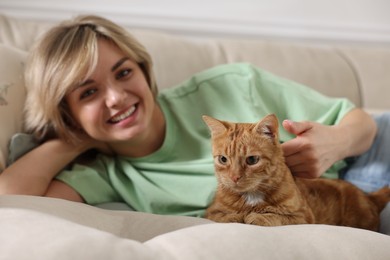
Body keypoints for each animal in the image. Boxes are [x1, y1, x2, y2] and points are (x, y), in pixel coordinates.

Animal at [203, 114, 390, 232]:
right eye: (223, 159)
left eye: (252, 160)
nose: (234, 177)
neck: (252, 196)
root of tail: (368, 196)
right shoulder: (212, 212)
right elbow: (226, 216)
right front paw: (239, 215)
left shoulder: (303, 217)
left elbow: (277, 217)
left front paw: (258, 217)